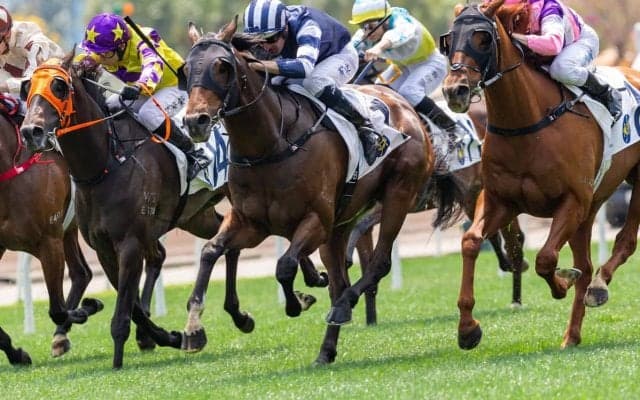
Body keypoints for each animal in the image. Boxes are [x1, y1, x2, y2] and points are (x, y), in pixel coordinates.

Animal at [0, 97, 104, 364]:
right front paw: (17, 354)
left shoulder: (48, 241)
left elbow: (57, 309)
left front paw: (88, 308)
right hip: (69, 230)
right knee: (81, 272)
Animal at [180, 18, 456, 365]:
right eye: (186, 68)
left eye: (222, 66)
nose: (195, 120)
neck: (271, 144)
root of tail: (405, 106)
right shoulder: (250, 222)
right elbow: (210, 252)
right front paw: (193, 328)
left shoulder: (315, 220)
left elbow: (284, 266)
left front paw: (295, 302)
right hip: (342, 224)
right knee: (339, 281)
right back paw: (326, 349)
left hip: (398, 195)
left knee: (377, 265)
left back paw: (342, 307)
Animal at [441, 0, 640, 350]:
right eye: (449, 41)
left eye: (482, 39)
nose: (455, 91)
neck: (527, 124)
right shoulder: (500, 200)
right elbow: (471, 241)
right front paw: (467, 328)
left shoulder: (572, 201)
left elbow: (546, 258)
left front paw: (563, 282)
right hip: (591, 206)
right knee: (587, 264)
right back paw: (571, 335)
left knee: (624, 243)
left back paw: (598, 286)